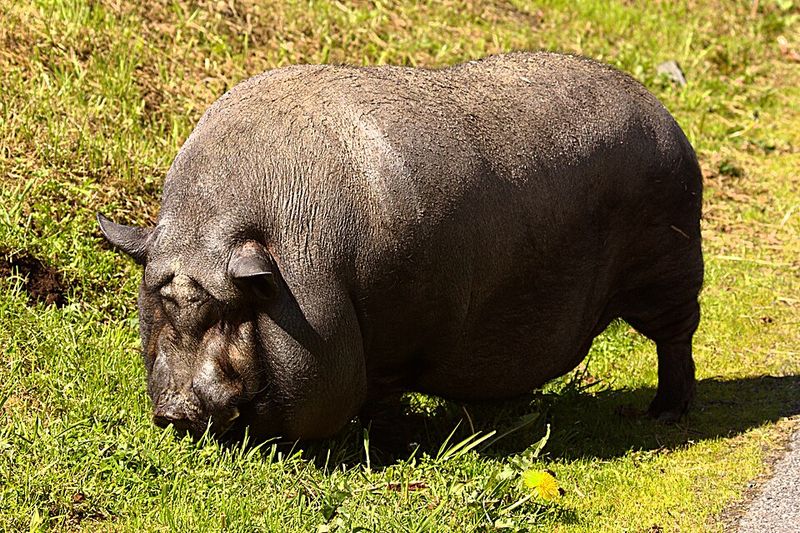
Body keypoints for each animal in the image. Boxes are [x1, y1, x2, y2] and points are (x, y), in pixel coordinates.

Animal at [98, 52, 703, 440]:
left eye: (225, 311)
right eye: (158, 305)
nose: (174, 410)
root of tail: (667, 118)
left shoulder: (395, 331)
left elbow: (381, 393)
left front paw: (388, 443)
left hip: (670, 268)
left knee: (676, 338)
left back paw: (665, 415)